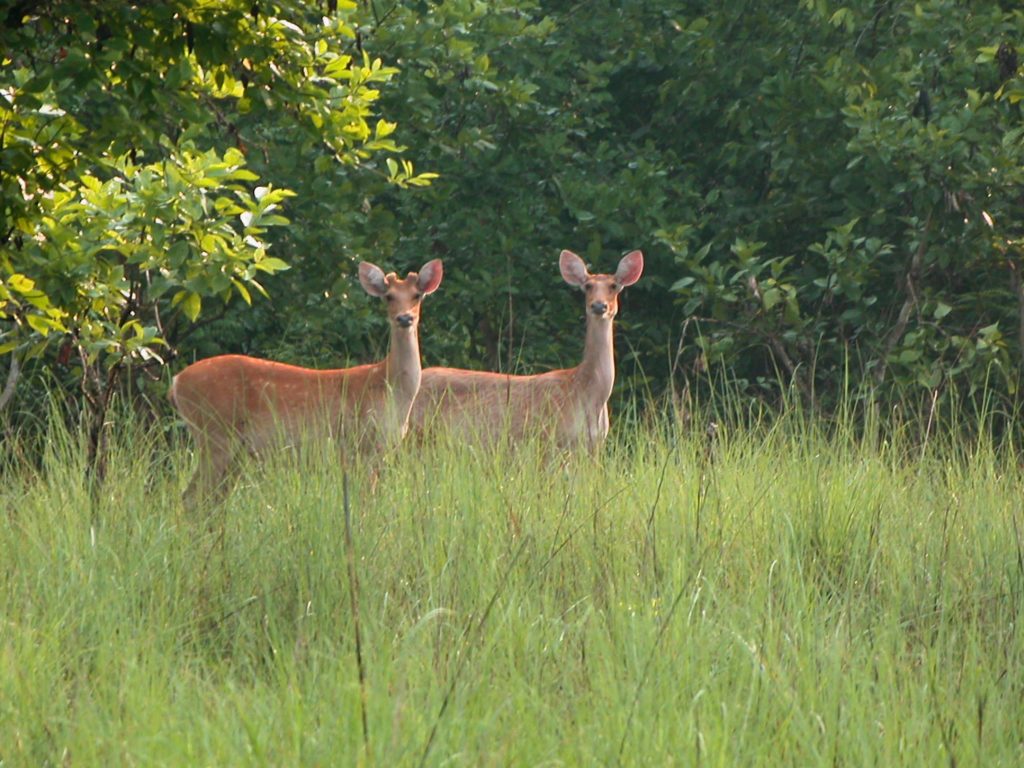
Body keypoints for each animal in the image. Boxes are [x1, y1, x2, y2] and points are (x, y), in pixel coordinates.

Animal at [168, 262, 444, 507]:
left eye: (417, 295)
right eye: (388, 296)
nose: (404, 318)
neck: (389, 386)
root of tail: (176, 382)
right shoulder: (360, 443)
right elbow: (366, 502)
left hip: (232, 449)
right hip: (214, 432)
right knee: (191, 498)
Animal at [407, 249, 638, 450]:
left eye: (614, 285)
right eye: (587, 286)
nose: (599, 306)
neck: (588, 392)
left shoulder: (594, 445)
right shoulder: (549, 438)